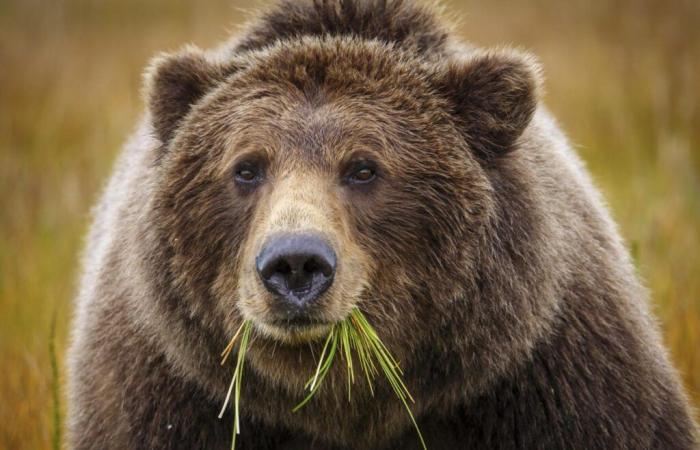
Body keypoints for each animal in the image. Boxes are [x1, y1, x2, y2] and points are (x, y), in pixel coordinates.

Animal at [64, 0, 696, 450]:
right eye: (246, 167)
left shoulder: (551, 379)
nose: (296, 263)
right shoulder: (168, 394)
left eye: (363, 167)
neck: (347, 402)